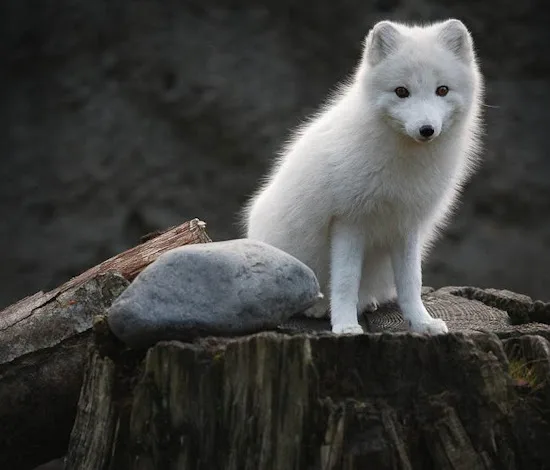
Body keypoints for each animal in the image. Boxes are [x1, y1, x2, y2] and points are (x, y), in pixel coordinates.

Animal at [244, 18, 486, 334]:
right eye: (401, 92)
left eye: (442, 90)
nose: (426, 130)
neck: (404, 165)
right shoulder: (348, 221)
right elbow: (346, 281)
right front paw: (345, 326)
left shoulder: (406, 224)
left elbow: (411, 282)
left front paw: (421, 323)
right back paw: (320, 307)